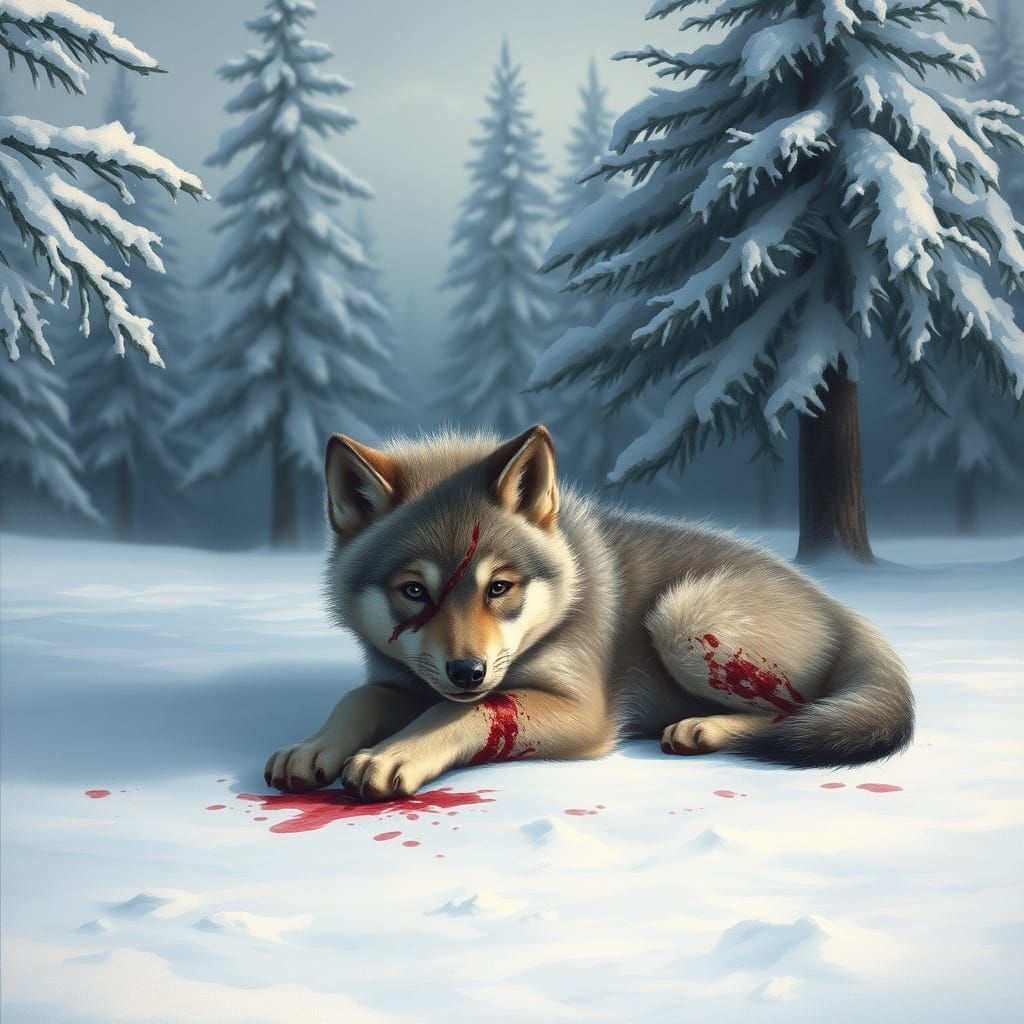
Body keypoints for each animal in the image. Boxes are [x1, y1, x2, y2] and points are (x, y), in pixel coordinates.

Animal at [265, 425, 914, 800]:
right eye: (415, 592)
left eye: (498, 587)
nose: (467, 672)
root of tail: (839, 605)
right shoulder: (402, 681)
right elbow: (360, 697)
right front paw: (312, 747)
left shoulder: (582, 712)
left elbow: (464, 713)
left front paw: (393, 751)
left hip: (681, 618)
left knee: (798, 711)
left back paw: (703, 728)